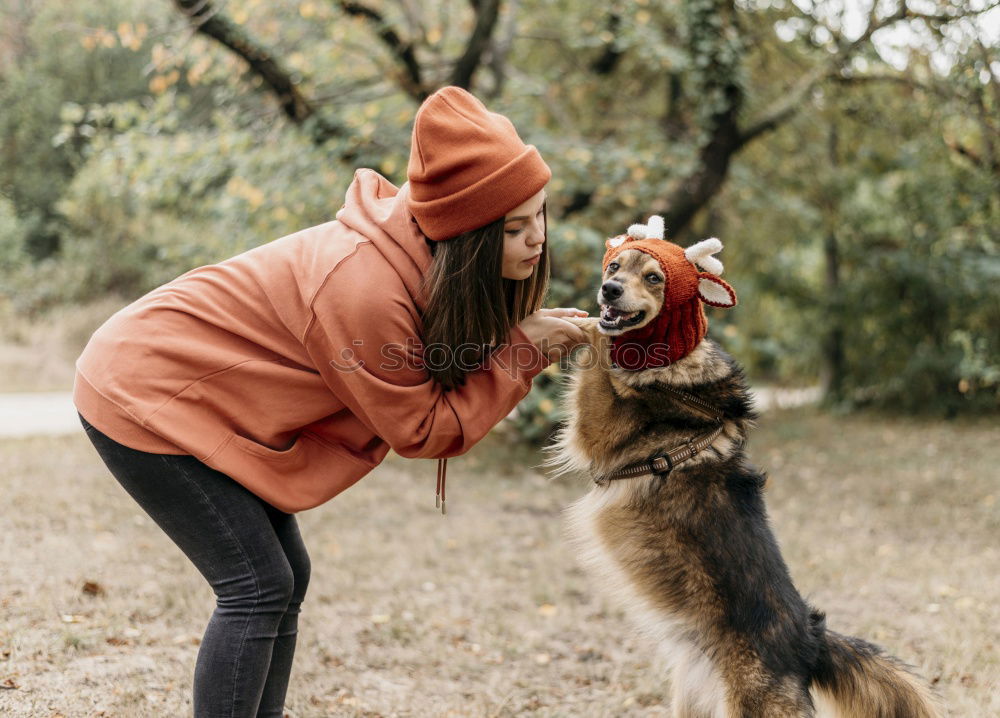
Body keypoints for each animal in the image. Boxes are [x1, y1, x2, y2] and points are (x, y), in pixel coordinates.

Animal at [544, 218, 940, 718]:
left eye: (653, 277)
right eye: (615, 267)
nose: (608, 289)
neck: (674, 366)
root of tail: (809, 642)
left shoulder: (598, 428)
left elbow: (598, 351)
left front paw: (579, 325)